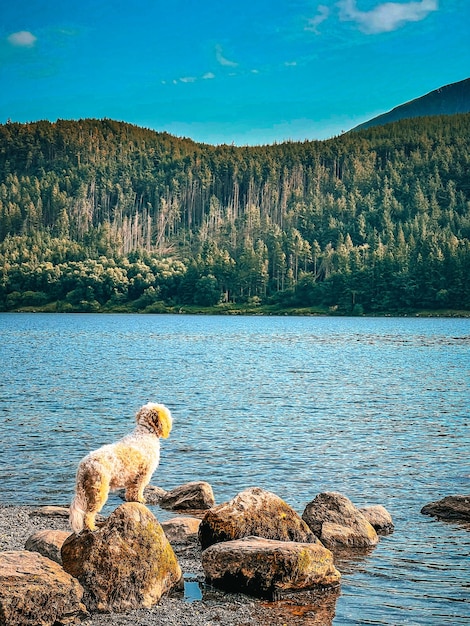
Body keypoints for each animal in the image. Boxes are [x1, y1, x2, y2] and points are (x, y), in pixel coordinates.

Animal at [69, 400, 172, 532]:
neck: (145, 432)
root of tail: (84, 465)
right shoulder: (144, 474)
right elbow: (139, 489)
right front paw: (140, 499)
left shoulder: (134, 477)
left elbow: (131, 491)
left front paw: (132, 500)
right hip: (99, 490)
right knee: (88, 513)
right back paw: (91, 527)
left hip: (87, 490)